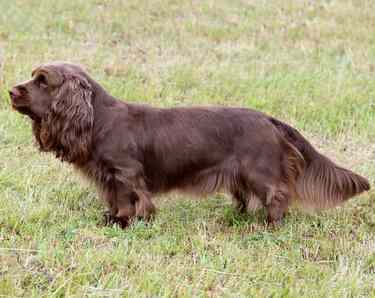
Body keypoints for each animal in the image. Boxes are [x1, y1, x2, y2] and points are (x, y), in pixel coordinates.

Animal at [8, 61, 370, 227]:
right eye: (33, 77)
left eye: (43, 81)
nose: (11, 90)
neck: (98, 119)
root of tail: (269, 119)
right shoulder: (107, 176)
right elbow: (112, 198)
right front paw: (112, 217)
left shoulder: (125, 173)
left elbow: (129, 198)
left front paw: (125, 221)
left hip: (259, 170)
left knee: (278, 195)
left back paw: (269, 225)